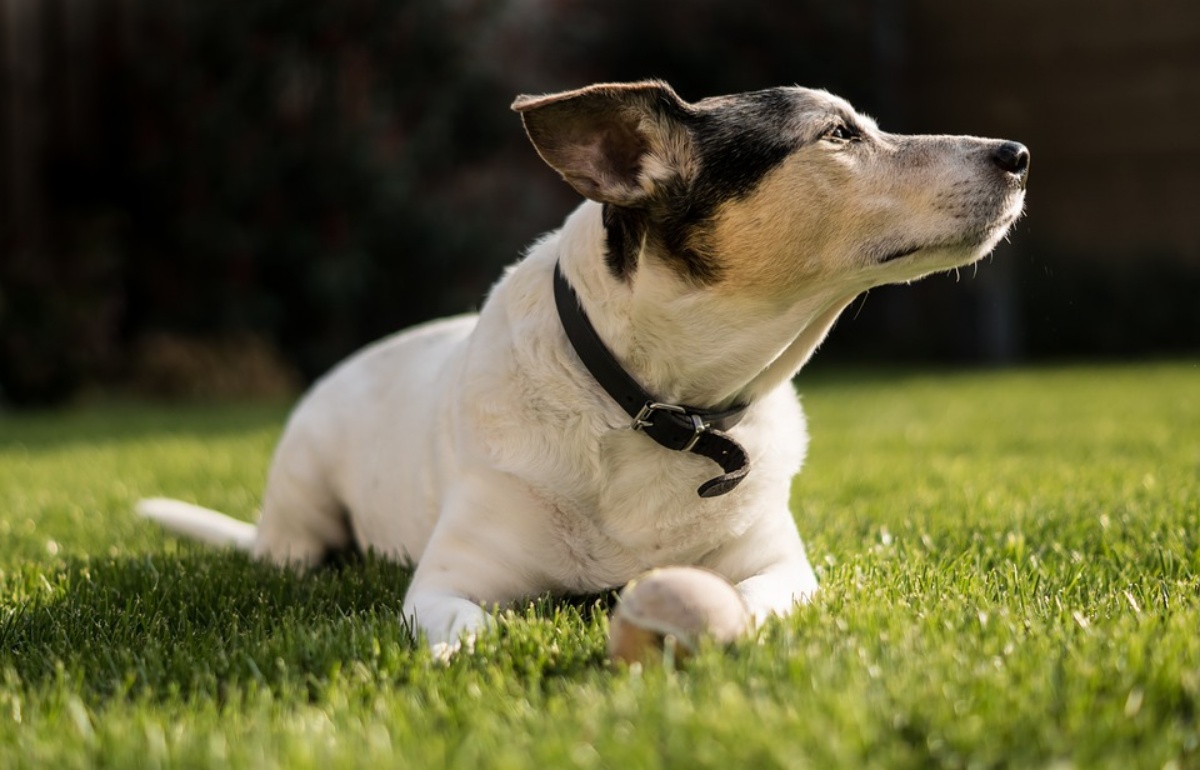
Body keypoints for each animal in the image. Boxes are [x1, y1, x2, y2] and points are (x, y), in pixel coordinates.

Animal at [138, 79, 1022, 652]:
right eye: (839, 135)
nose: (1017, 152)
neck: (660, 410)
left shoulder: (782, 568)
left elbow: (750, 597)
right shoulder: (445, 582)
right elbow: (464, 629)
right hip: (301, 510)